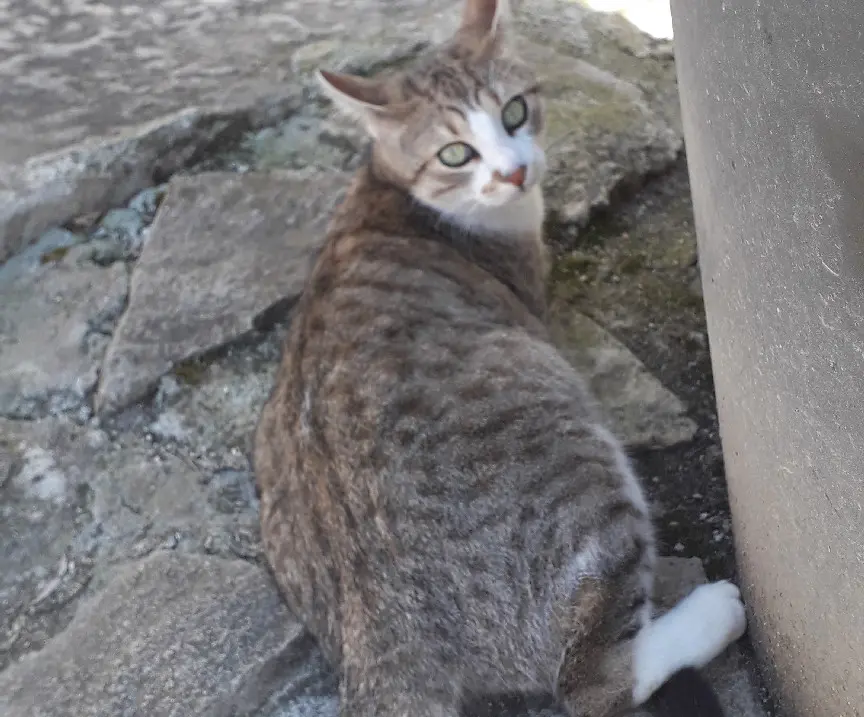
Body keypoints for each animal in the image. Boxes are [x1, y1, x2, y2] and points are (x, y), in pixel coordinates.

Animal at [253, 1, 744, 716]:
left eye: (515, 112)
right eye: (455, 152)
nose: (513, 172)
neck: (397, 195)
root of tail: (379, 633)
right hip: (584, 473)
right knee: (589, 683)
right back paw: (710, 616)